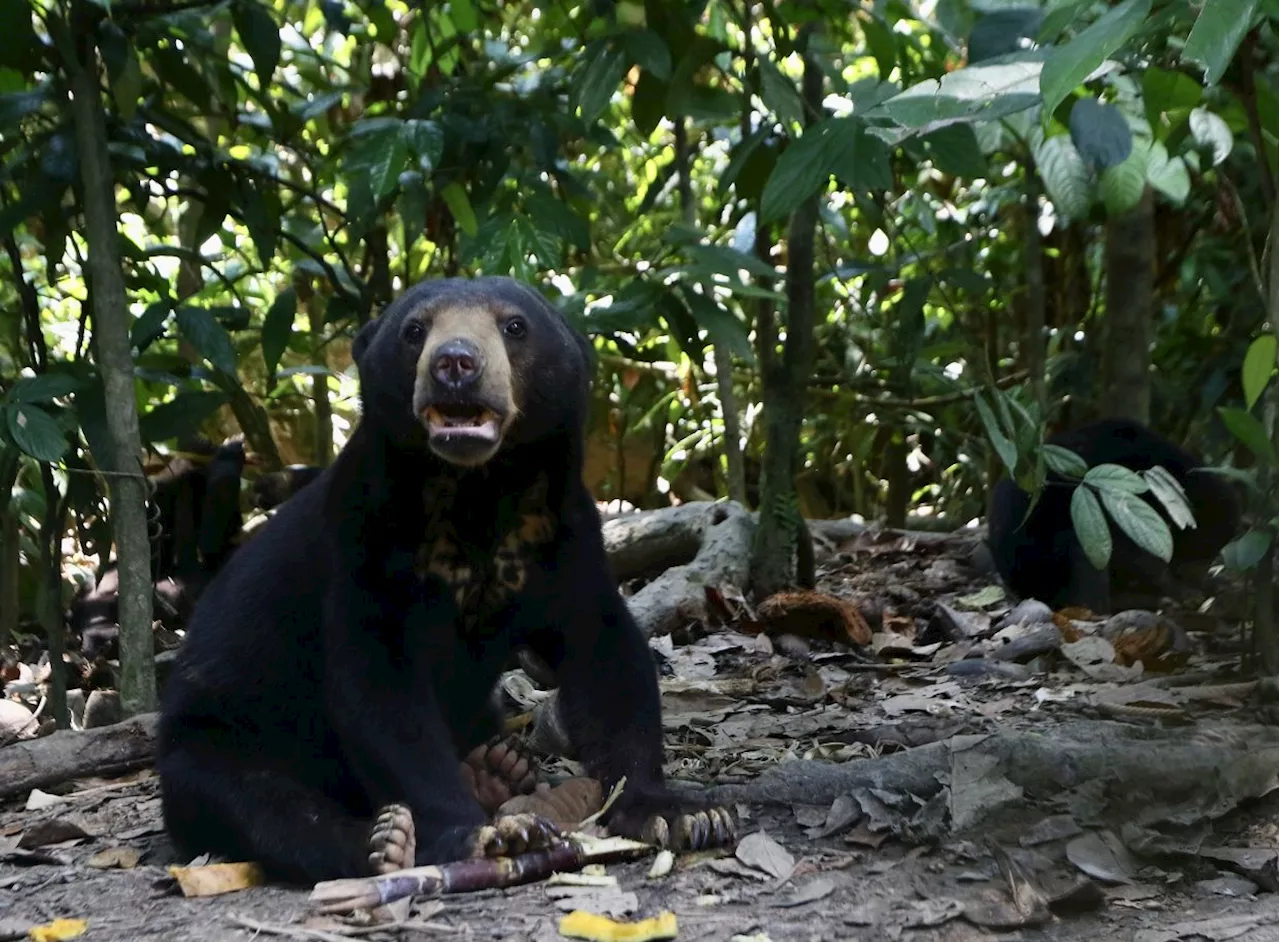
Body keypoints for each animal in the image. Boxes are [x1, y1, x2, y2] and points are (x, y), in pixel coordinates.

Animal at [156, 276, 737, 885]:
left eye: (514, 326)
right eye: (414, 331)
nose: (455, 363)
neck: (476, 490)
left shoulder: (565, 542)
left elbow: (607, 658)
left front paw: (682, 814)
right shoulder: (363, 547)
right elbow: (380, 695)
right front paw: (487, 834)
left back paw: (497, 768)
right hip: (212, 741)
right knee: (260, 805)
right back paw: (386, 841)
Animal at [988, 417, 1239, 611]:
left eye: (1211, 555)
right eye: (1200, 551)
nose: (1199, 573)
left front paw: (1209, 584)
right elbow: (1123, 546)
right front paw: (1179, 590)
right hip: (1043, 570)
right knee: (1081, 545)